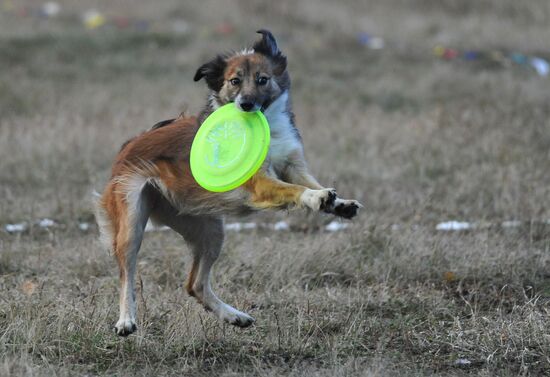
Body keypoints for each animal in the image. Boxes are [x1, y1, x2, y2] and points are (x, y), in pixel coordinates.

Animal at [97, 29, 364, 334]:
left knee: (195, 284)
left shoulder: (292, 163)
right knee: (126, 273)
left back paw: (234, 316)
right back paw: (126, 320)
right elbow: (296, 189)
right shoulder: (260, 183)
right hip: (132, 221)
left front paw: (339, 203)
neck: (268, 128)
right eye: (234, 81)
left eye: (262, 79)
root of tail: (128, 146)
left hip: (210, 229)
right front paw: (315, 198)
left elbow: (310, 182)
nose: (245, 104)